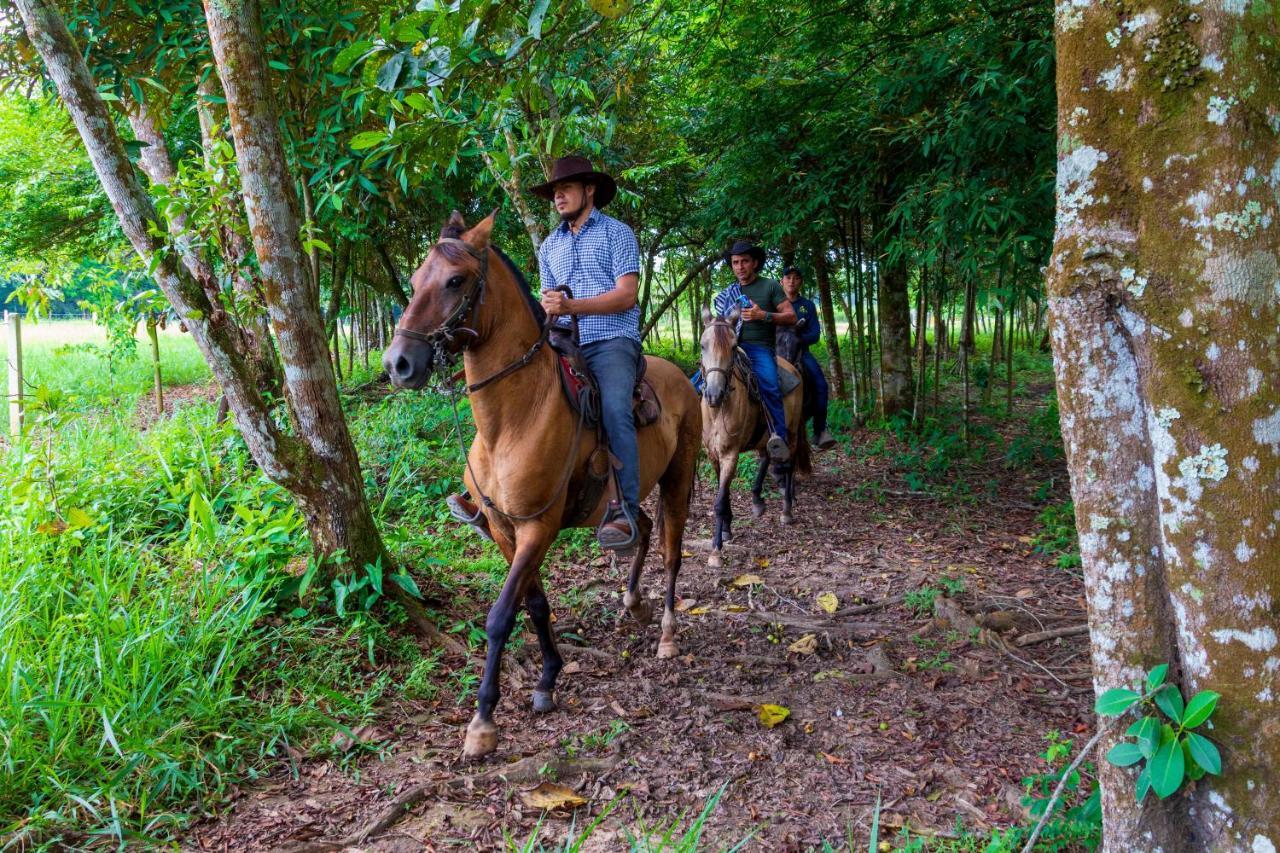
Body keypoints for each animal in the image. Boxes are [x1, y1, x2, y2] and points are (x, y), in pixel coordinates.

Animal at [381, 212, 701, 758]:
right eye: (417, 277)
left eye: (455, 281)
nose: (397, 363)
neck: (513, 418)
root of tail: (682, 377)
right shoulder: (503, 527)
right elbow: (533, 604)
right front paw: (549, 678)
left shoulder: (539, 527)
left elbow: (500, 616)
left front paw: (483, 721)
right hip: (628, 495)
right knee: (638, 527)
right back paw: (632, 602)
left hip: (680, 477)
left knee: (672, 552)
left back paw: (667, 634)